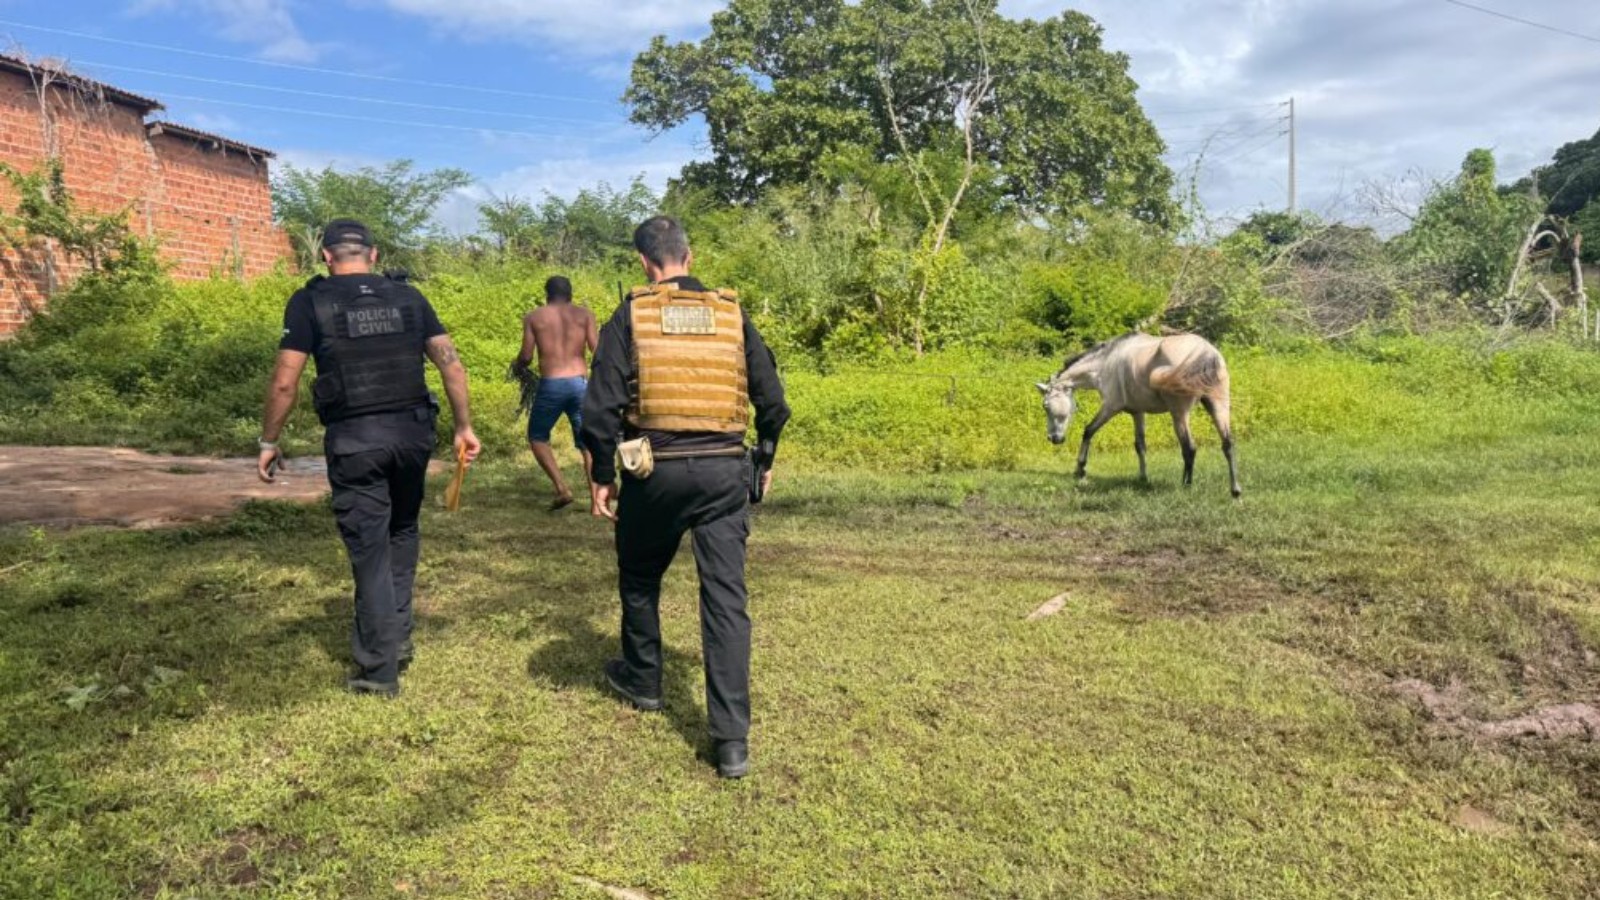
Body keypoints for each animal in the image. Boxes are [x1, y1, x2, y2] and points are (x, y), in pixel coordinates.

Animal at [1035, 333, 1241, 498]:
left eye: (1046, 406)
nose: (1054, 438)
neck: (1106, 363)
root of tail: (1205, 353)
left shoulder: (1110, 407)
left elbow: (1088, 431)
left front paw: (1080, 469)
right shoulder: (1138, 413)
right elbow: (1140, 445)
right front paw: (1143, 477)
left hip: (1179, 414)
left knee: (1189, 448)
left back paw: (1186, 486)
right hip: (1218, 406)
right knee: (1228, 444)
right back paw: (1235, 490)